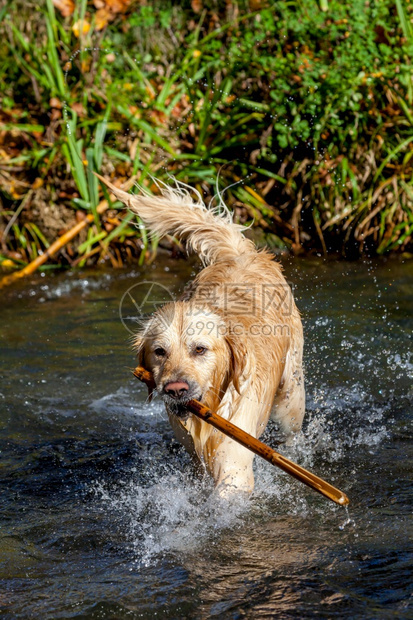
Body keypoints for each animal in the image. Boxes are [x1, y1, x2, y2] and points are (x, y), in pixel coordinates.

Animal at [96, 174, 302, 494]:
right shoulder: (193, 457)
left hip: (290, 396)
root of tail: (240, 254)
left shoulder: (234, 467)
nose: (175, 389)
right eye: (159, 352)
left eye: (200, 349)